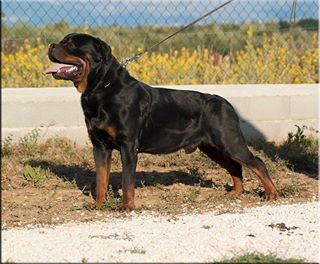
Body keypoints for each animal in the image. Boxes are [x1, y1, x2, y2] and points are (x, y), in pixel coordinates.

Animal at [44, 33, 278, 210]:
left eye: (72, 44)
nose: (51, 45)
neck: (101, 89)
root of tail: (224, 102)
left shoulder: (128, 146)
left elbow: (127, 181)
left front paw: (126, 207)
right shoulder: (100, 146)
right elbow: (101, 179)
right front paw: (99, 205)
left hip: (229, 140)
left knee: (257, 162)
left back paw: (271, 194)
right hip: (211, 146)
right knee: (234, 166)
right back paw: (235, 193)